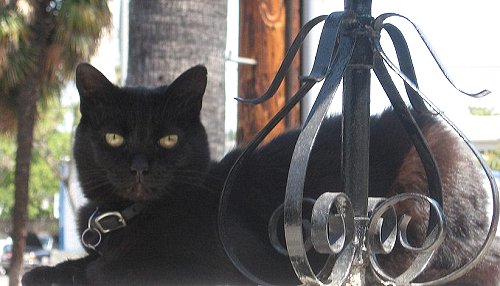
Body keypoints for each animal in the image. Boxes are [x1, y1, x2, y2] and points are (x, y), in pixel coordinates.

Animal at [23, 63, 500, 284]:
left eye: (168, 140)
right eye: (115, 138)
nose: (140, 167)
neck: (129, 216)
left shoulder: (233, 261)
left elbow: (115, 269)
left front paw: (81, 271)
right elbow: (74, 263)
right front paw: (49, 271)